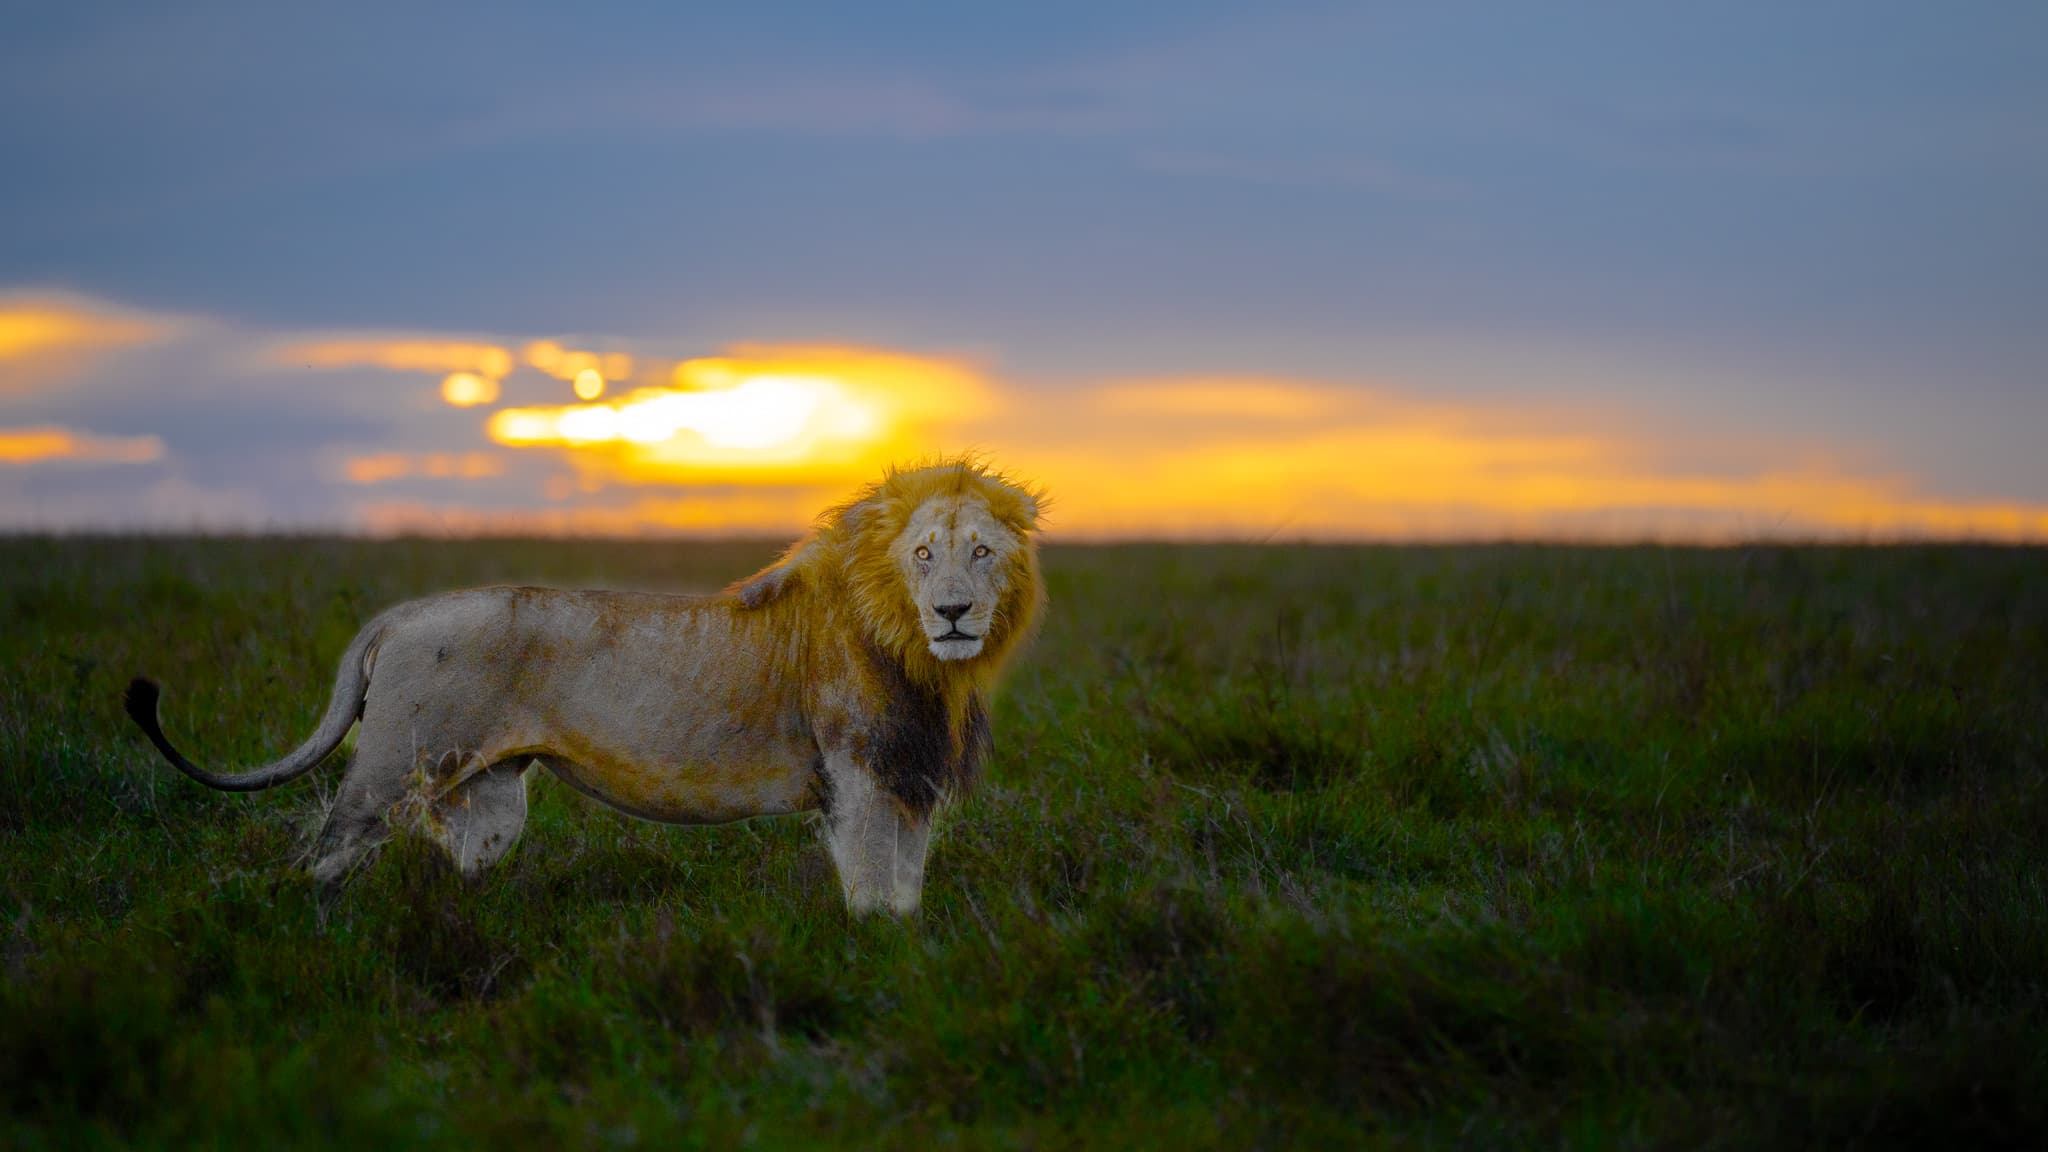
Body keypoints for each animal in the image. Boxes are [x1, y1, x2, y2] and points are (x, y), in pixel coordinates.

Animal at [124, 458, 1046, 917]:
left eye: (982, 553)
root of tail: (400, 614)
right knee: (324, 860)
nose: (955, 611)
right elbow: (872, 898)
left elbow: (907, 893)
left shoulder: (908, 781)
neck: (920, 654)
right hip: (387, 769)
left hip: (488, 801)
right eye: (923, 554)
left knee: (452, 861)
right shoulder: (859, 778)